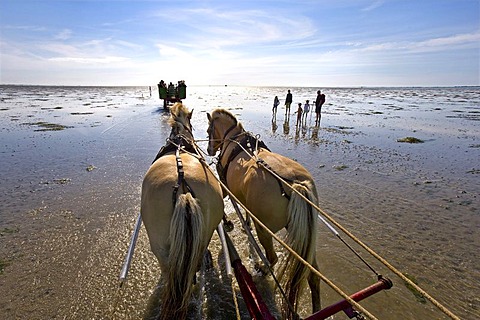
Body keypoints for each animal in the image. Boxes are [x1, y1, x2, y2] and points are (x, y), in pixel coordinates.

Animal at [206, 109, 318, 318]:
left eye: (209, 130)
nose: (209, 149)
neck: (234, 139)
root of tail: (296, 185)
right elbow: (246, 210)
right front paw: (245, 223)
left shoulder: (225, 184)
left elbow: (223, 199)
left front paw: (228, 223)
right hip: (305, 234)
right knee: (313, 276)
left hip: (265, 229)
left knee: (272, 258)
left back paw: (263, 269)